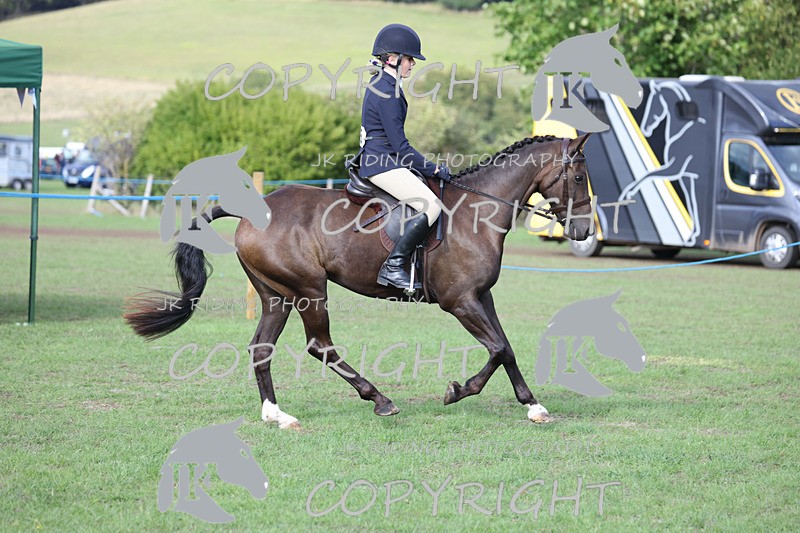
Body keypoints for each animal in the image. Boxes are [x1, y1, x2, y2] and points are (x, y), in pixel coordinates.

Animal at [126, 134, 594, 427]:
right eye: (578, 177)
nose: (584, 231)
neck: (475, 213)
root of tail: (254, 210)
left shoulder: (482, 297)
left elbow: (507, 348)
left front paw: (533, 406)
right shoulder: (460, 301)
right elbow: (496, 348)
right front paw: (458, 391)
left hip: (276, 295)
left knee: (261, 348)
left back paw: (277, 415)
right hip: (309, 290)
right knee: (320, 346)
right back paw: (380, 399)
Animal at [619, 79, 707, 246]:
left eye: (653, 103)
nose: (644, 129)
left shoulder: (676, 169)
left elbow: (648, 175)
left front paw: (628, 193)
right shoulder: (688, 176)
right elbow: (692, 203)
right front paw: (692, 236)